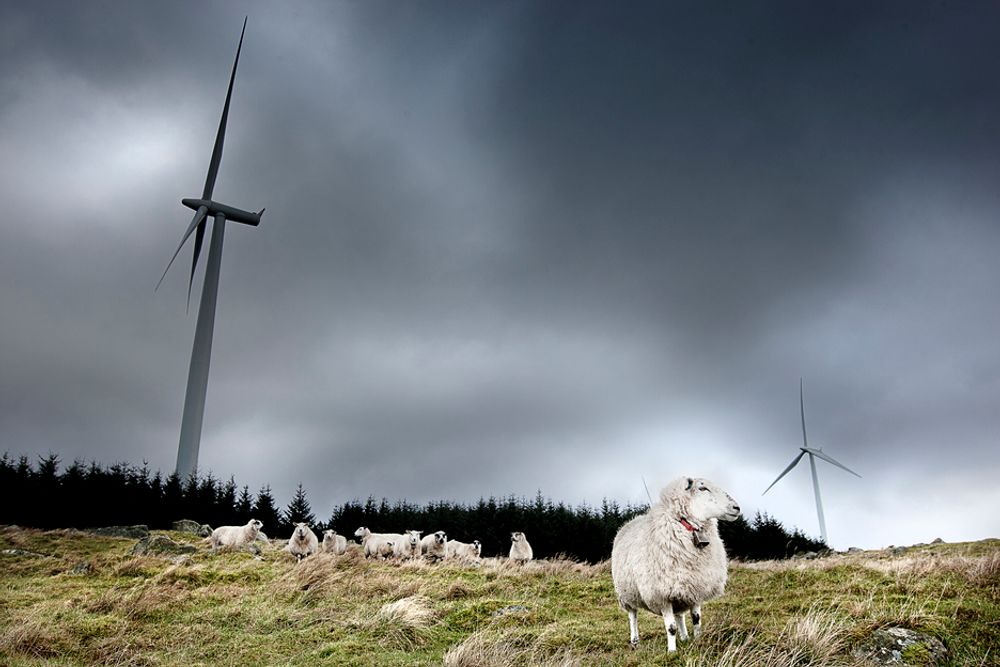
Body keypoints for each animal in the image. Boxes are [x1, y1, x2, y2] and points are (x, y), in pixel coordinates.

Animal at [608, 478, 744, 656]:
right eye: (703, 488)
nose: (736, 508)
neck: (690, 528)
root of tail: (629, 522)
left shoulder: (695, 588)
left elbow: (696, 620)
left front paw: (697, 641)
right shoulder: (662, 594)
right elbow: (671, 627)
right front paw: (672, 652)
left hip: (681, 591)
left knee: (679, 616)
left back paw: (685, 637)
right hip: (627, 593)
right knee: (633, 616)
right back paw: (635, 641)